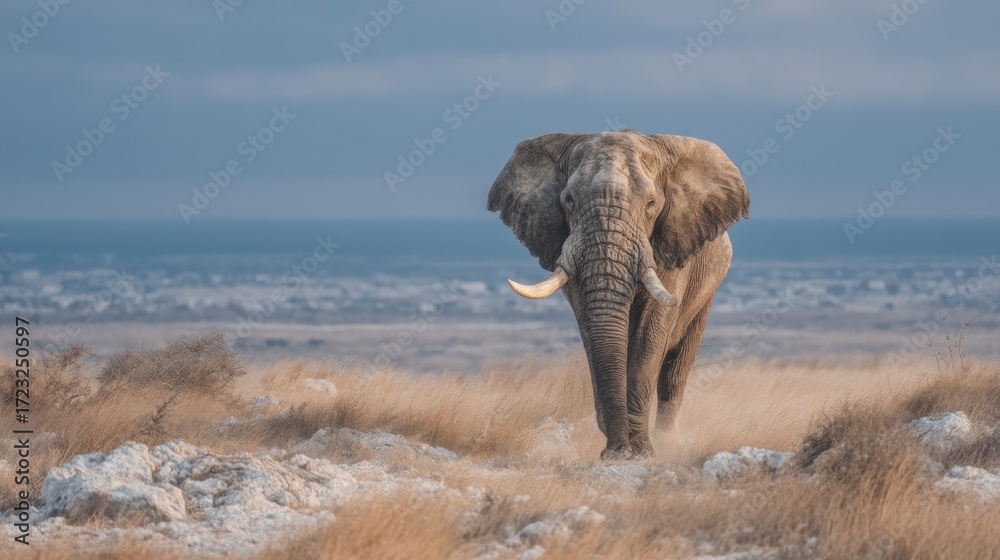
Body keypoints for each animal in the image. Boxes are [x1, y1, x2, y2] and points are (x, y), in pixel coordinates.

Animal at [487, 130, 749, 460]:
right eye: (568, 200)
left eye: (651, 203)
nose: (617, 450)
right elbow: (592, 329)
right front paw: (617, 451)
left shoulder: (670, 244)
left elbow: (649, 333)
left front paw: (642, 454)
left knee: (676, 369)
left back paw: (668, 443)